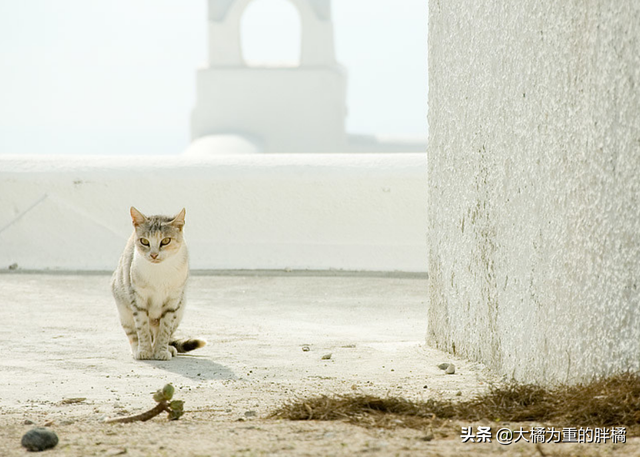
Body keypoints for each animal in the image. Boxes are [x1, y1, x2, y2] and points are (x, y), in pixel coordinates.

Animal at [110, 207, 205, 360]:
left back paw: (166, 348)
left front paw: (160, 351)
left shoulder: (173, 302)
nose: (153, 255)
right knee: (133, 334)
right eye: (144, 241)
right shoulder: (138, 299)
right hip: (124, 311)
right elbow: (142, 328)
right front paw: (144, 351)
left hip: (181, 307)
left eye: (166, 241)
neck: (159, 271)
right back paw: (137, 349)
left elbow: (164, 330)